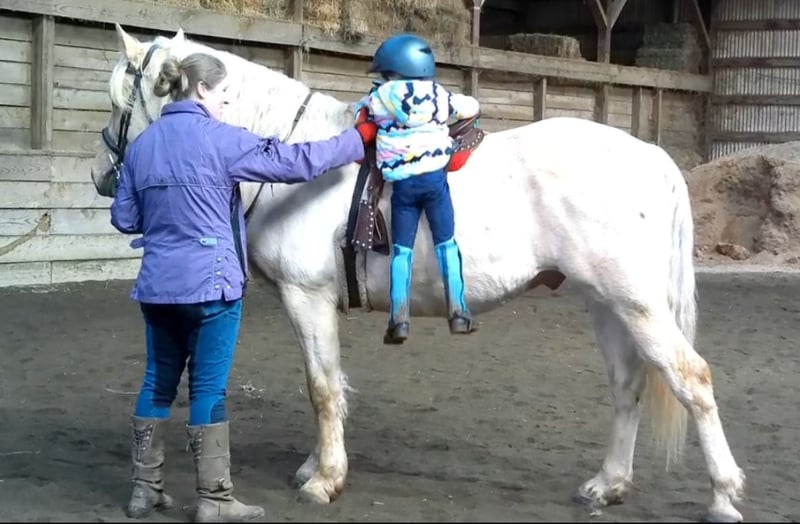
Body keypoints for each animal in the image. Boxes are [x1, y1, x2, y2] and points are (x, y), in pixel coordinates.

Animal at [90, 23, 746, 522]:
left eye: (121, 104)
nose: (101, 176)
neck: (293, 157)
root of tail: (651, 155)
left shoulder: (307, 298)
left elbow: (321, 387)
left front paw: (325, 479)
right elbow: (329, 386)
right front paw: (317, 466)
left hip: (635, 303)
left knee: (692, 379)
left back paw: (723, 495)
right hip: (605, 304)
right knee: (628, 386)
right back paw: (607, 484)